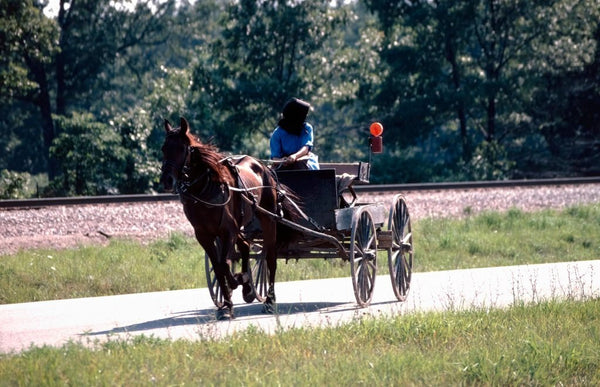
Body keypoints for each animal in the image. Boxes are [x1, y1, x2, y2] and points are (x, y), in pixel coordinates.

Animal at [161, 118, 298, 322]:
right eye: (164, 148)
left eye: (181, 148)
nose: (166, 180)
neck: (206, 190)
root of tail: (264, 167)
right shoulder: (204, 235)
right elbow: (218, 266)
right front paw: (226, 305)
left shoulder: (227, 231)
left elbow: (225, 264)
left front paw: (239, 281)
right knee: (245, 246)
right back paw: (248, 289)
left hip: (267, 220)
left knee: (270, 259)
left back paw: (269, 300)